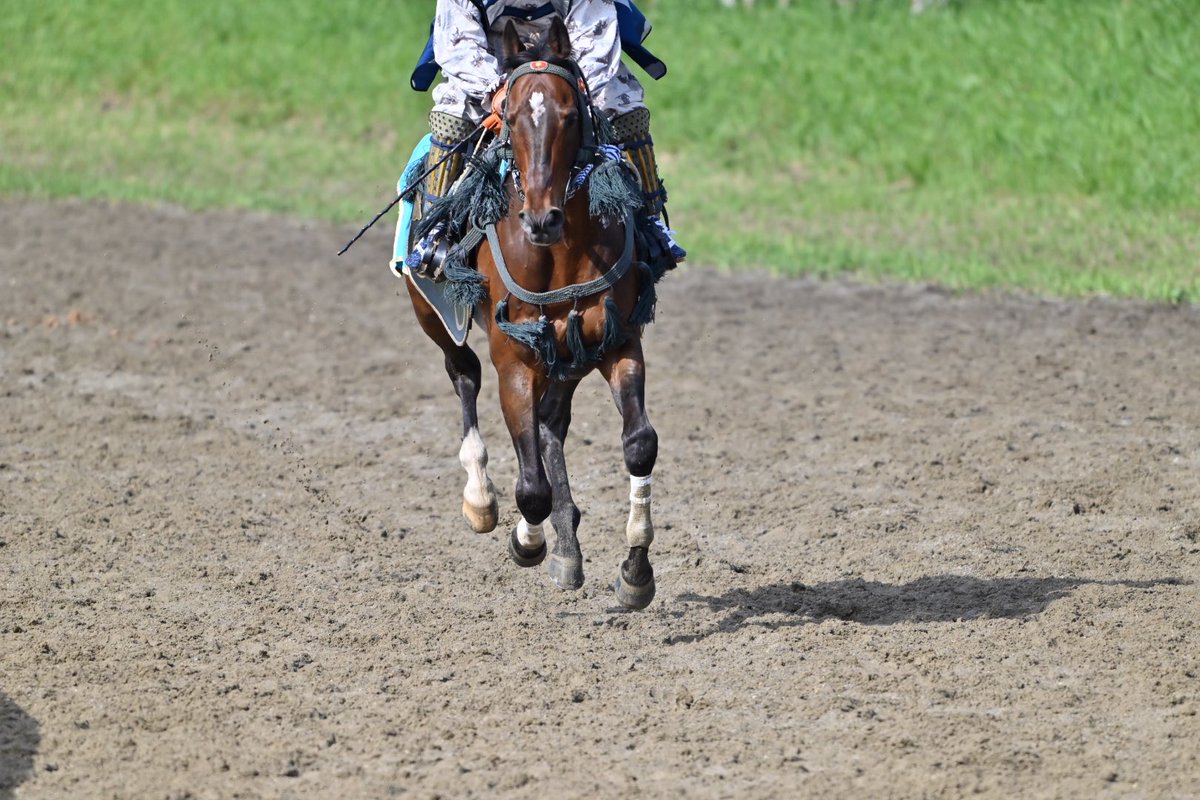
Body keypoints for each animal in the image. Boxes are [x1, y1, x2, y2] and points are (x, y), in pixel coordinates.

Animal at [402, 18, 663, 610]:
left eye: (569, 114)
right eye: (515, 116)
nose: (542, 219)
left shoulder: (616, 342)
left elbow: (639, 444)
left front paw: (635, 570)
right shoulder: (515, 361)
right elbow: (532, 489)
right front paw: (527, 539)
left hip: (568, 354)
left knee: (552, 424)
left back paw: (568, 544)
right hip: (432, 313)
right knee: (464, 373)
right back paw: (482, 498)